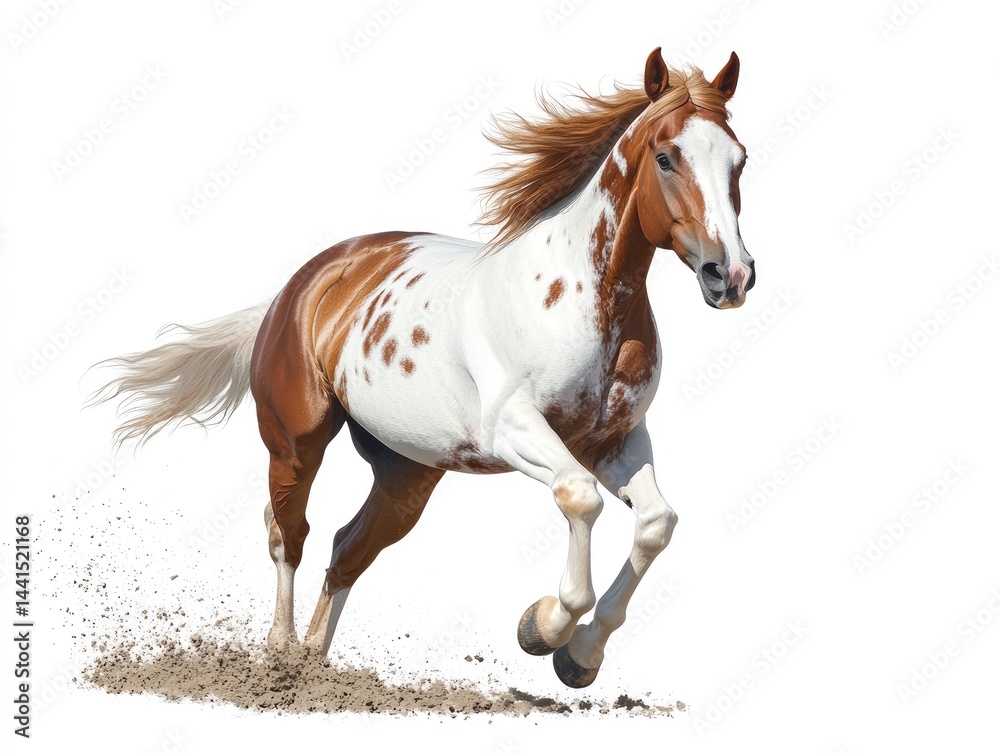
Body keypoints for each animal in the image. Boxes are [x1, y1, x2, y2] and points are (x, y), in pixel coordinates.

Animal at [90, 48, 755, 688]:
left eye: (740, 160)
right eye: (666, 157)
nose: (731, 275)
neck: (584, 300)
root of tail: (298, 287)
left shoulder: (616, 441)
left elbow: (656, 523)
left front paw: (579, 657)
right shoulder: (515, 430)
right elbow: (580, 499)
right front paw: (542, 627)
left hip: (406, 474)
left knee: (348, 548)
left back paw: (315, 666)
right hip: (295, 444)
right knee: (289, 535)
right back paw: (280, 658)